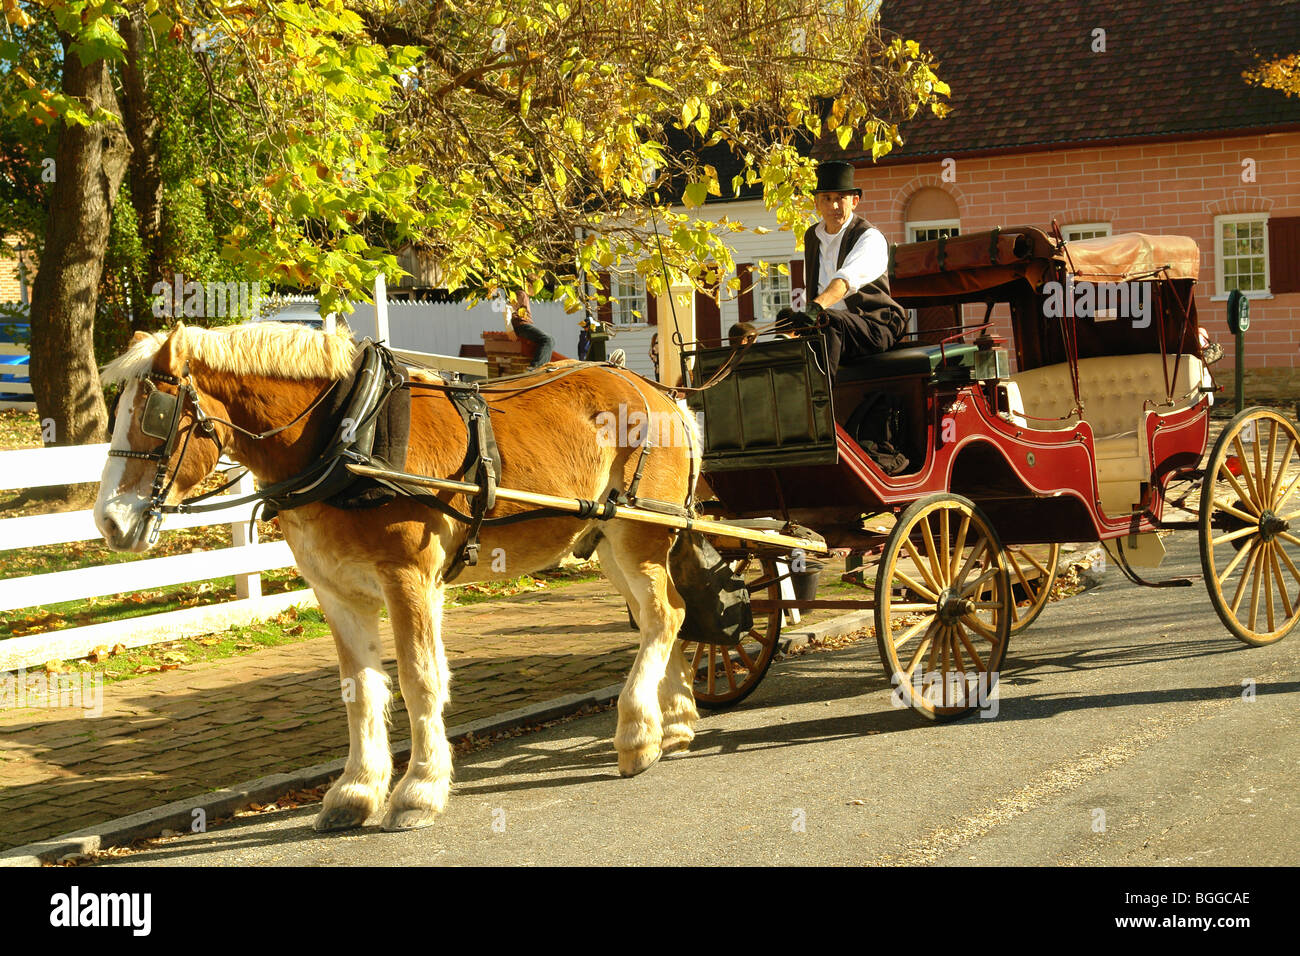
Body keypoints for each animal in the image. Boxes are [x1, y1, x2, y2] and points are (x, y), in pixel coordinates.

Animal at [94, 321, 702, 832]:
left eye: (155, 415)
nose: (108, 521)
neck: (345, 436)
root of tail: (660, 393)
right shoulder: (336, 592)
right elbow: (360, 688)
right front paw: (357, 790)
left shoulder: (409, 579)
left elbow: (419, 680)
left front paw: (420, 790)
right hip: (611, 545)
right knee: (665, 616)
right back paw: (672, 722)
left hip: (639, 536)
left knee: (662, 615)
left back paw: (637, 733)